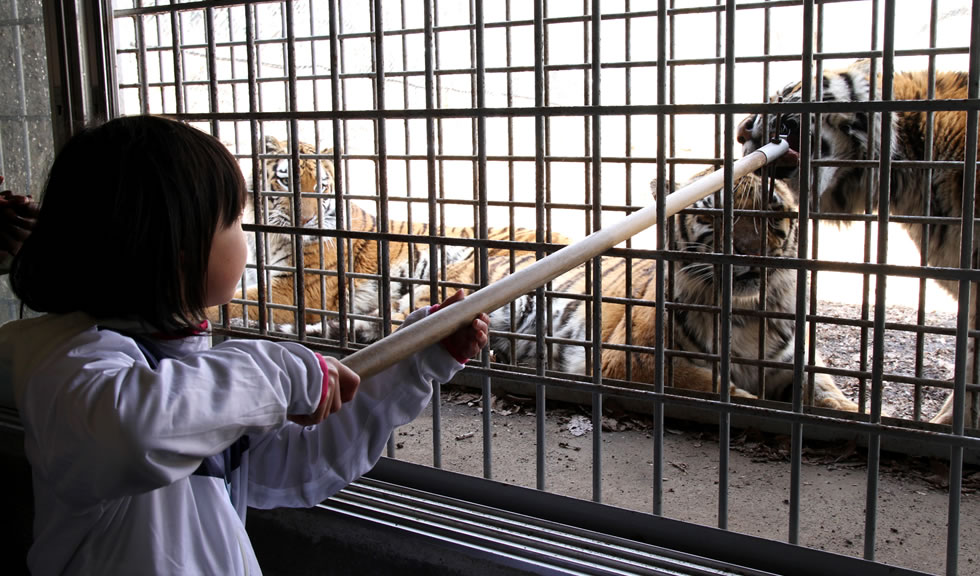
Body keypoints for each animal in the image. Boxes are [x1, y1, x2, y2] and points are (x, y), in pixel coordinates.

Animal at [209, 138, 856, 412]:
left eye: (773, 213)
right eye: (712, 215)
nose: (750, 258)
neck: (746, 315)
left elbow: (826, 397)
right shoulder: (641, 361)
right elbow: (724, 390)